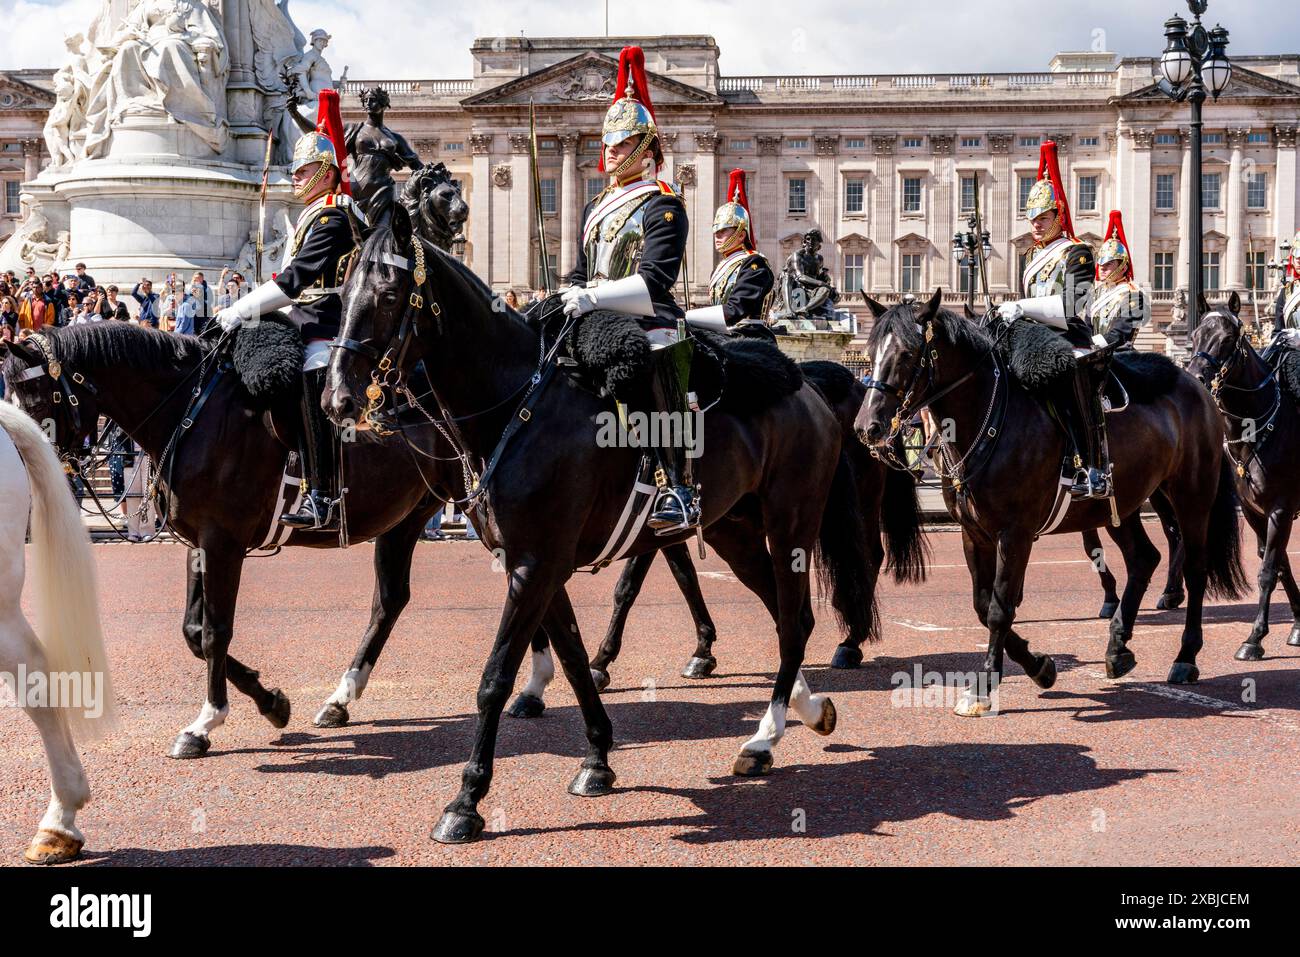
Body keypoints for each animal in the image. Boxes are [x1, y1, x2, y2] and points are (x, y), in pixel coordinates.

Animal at [325, 209, 873, 842]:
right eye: (341, 291)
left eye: (389, 293)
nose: (336, 399)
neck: (515, 405)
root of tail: (807, 383)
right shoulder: (537, 564)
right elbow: (570, 657)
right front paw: (597, 759)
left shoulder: (535, 565)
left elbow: (495, 678)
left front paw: (466, 801)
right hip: (734, 531)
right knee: (788, 616)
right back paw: (800, 715)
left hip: (790, 527)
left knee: (794, 619)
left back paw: (765, 737)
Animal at [857, 291, 1242, 717]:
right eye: (871, 351)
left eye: (907, 353)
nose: (867, 426)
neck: (987, 418)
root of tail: (1195, 384)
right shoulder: (974, 532)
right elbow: (983, 604)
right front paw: (1039, 666)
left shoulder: (1015, 532)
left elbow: (999, 607)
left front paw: (984, 687)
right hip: (1123, 503)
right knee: (1144, 558)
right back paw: (1117, 648)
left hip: (1191, 496)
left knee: (1195, 568)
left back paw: (1185, 657)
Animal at [1190, 295, 1300, 660]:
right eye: (1194, 336)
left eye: (1227, 339)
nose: (1195, 378)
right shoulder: (1254, 511)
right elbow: (1278, 563)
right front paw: (1297, 625)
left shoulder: (1281, 508)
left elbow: (1267, 571)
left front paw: (1253, 639)